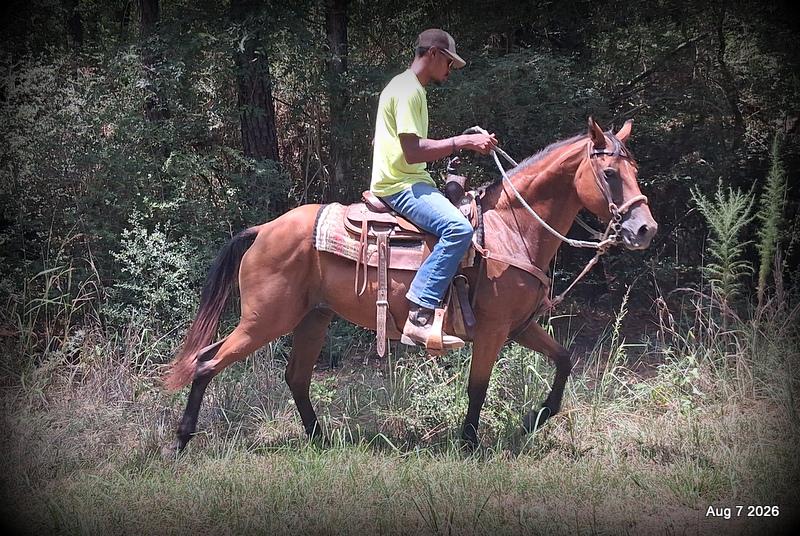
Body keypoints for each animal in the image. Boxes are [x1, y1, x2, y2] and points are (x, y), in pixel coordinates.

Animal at [162, 117, 657, 453]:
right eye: (609, 174)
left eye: (635, 170)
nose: (645, 229)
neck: (510, 228)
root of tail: (264, 229)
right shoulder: (494, 330)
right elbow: (478, 386)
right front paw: (470, 443)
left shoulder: (520, 327)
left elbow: (564, 360)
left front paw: (534, 419)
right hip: (266, 319)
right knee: (207, 362)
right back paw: (182, 441)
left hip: (312, 319)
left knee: (295, 376)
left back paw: (322, 439)